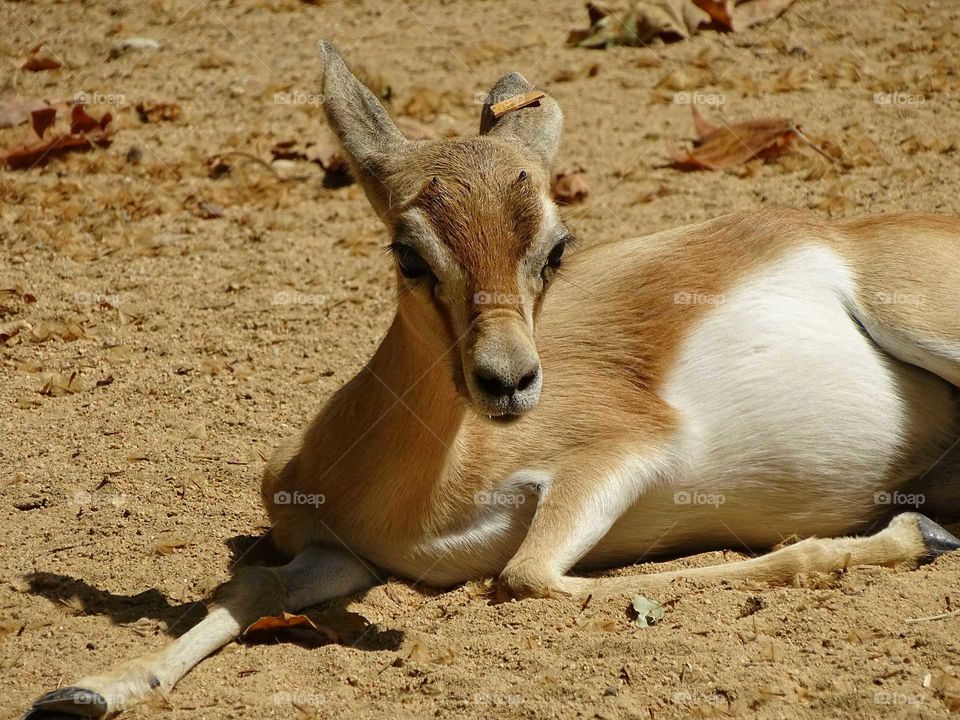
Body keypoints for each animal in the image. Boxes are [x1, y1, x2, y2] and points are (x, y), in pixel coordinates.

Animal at [26, 41, 960, 719]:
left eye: (557, 245)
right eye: (409, 252)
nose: (508, 383)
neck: (413, 493)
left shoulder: (620, 449)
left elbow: (525, 577)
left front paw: (908, 540)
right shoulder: (342, 556)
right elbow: (251, 583)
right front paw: (89, 688)